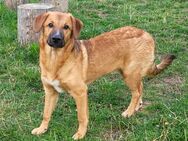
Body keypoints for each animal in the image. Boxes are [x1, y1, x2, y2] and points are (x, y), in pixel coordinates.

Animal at [30, 11, 175, 139]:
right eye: (50, 25)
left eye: (66, 27)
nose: (56, 39)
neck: (55, 60)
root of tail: (146, 34)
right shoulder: (50, 92)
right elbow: (46, 113)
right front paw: (42, 129)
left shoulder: (80, 92)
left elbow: (82, 117)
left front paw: (80, 134)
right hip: (130, 73)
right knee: (141, 86)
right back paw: (136, 107)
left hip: (129, 74)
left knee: (136, 92)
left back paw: (129, 112)